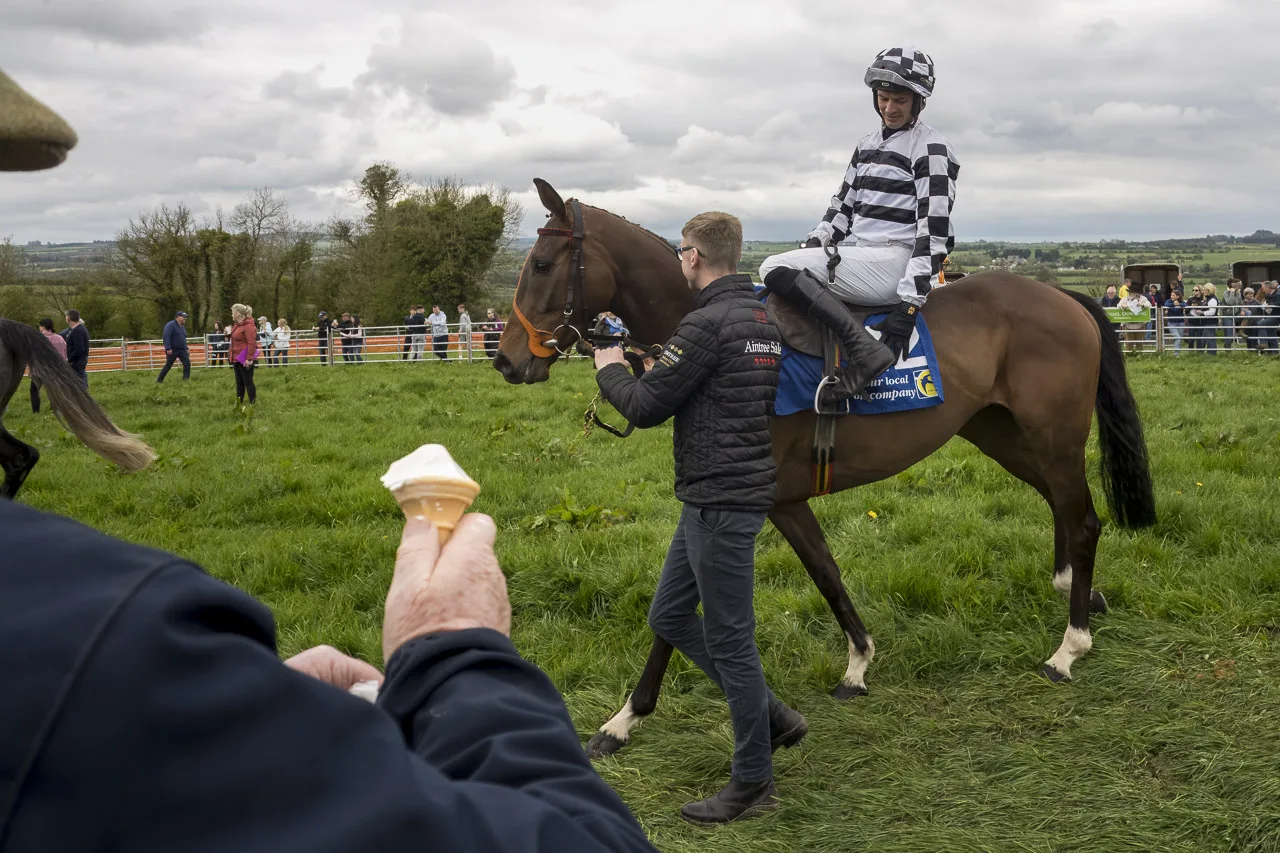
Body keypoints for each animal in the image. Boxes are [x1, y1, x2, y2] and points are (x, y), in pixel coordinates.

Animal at [494, 179, 1157, 758]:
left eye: (543, 265)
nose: (506, 361)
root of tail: (1065, 297)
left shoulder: (739, 500)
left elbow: (683, 610)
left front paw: (625, 717)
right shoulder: (766, 501)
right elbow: (824, 574)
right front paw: (858, 663)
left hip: (1053, 437)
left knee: (1083, 517)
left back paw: (1069, 647)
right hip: (1000, 431)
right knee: (1062, 503)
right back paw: (1074, 587)